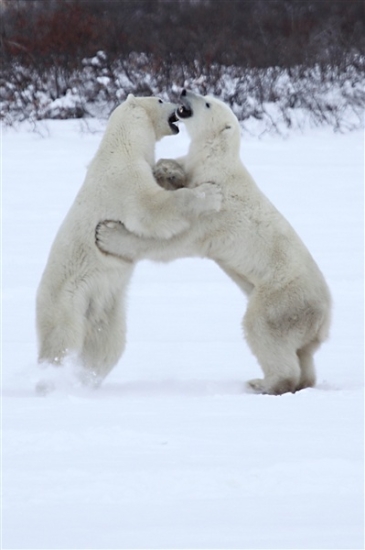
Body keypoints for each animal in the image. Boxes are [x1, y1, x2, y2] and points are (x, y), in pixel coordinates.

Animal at [35, 92, 222, 386]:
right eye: (160, 100)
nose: (176, 100)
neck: (123, 143)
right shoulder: (124, 176)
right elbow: (152, 208)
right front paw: (210, 194)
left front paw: (170, 173)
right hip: (65, 300)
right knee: (62, 341)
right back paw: (54, 381)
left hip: (106, 306)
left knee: (106, 346)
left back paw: (86, 378)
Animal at [96, 89, 330, 396]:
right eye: (204, 95)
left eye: (206, 103)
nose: (185, 90)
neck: (218, 163)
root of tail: (324, 321)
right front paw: (166, 170)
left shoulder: (215, 212)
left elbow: (172, 240)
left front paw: (108, 234)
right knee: (304, 354)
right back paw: (301, 380)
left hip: (282, 298)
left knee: (263, 329)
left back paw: (264, 383)